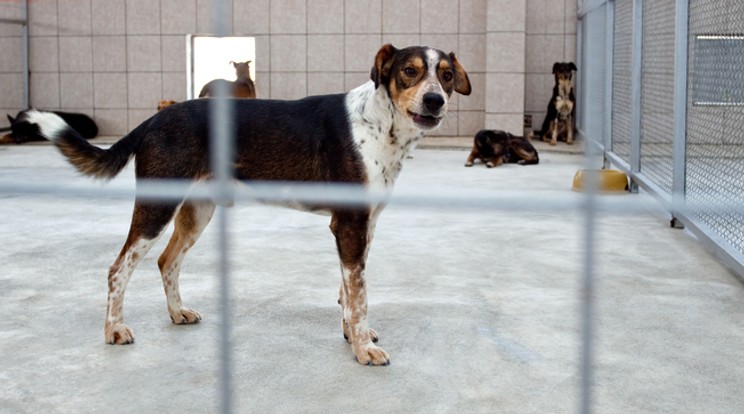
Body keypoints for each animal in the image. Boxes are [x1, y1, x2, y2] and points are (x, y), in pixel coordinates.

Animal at [29, 45, 474, 368]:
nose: (434, 100)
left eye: (446, 75)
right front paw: (363, 349)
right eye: (409, 72)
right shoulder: (349, 225)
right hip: (158, 207)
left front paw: (352, 334)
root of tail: (154, 119)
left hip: (198, 211)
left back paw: (178, 313)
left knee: (167, 261)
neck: (380, 123)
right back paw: (114, 330)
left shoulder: (362, 225)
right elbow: (359, 294)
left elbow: (348, 291)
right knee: (119, 268)